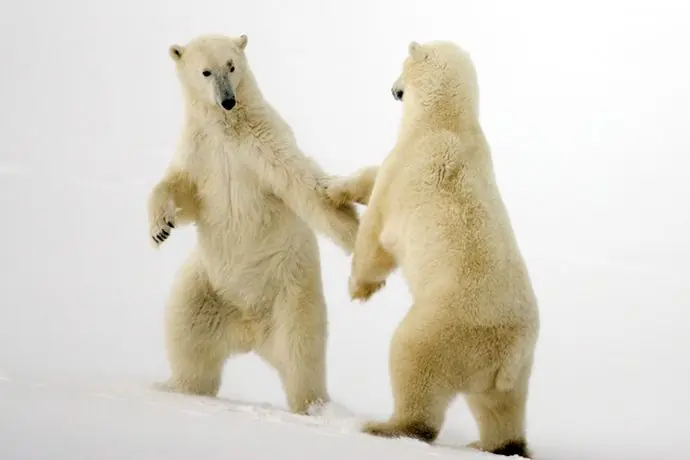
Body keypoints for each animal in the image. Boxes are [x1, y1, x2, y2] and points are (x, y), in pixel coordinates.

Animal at [147, 33, 360, 415]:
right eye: (206, 71)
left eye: (232, 65)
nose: (228, 100)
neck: (227, 128)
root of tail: (249, 331)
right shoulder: (200, 150)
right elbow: (183, 191)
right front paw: (160, 227)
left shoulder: (263, 144)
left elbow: (303, 185)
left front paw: (357, 237)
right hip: (206, 288)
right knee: (188, 341)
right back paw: (181, 389)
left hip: (290, 294)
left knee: (301, 356)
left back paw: (314, 408)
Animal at [325, 40, 540, 458]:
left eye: (400, 65)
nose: (392, 88)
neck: (446, 121)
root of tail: (508, 350)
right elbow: (370, 177)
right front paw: (334, 187)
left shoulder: (406, 170)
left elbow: (375, 235)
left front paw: (358, 288)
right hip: (515, 367)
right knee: (501, 407)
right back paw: (496, 443)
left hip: (444, 328)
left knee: (411, 362)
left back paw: (385, 427)